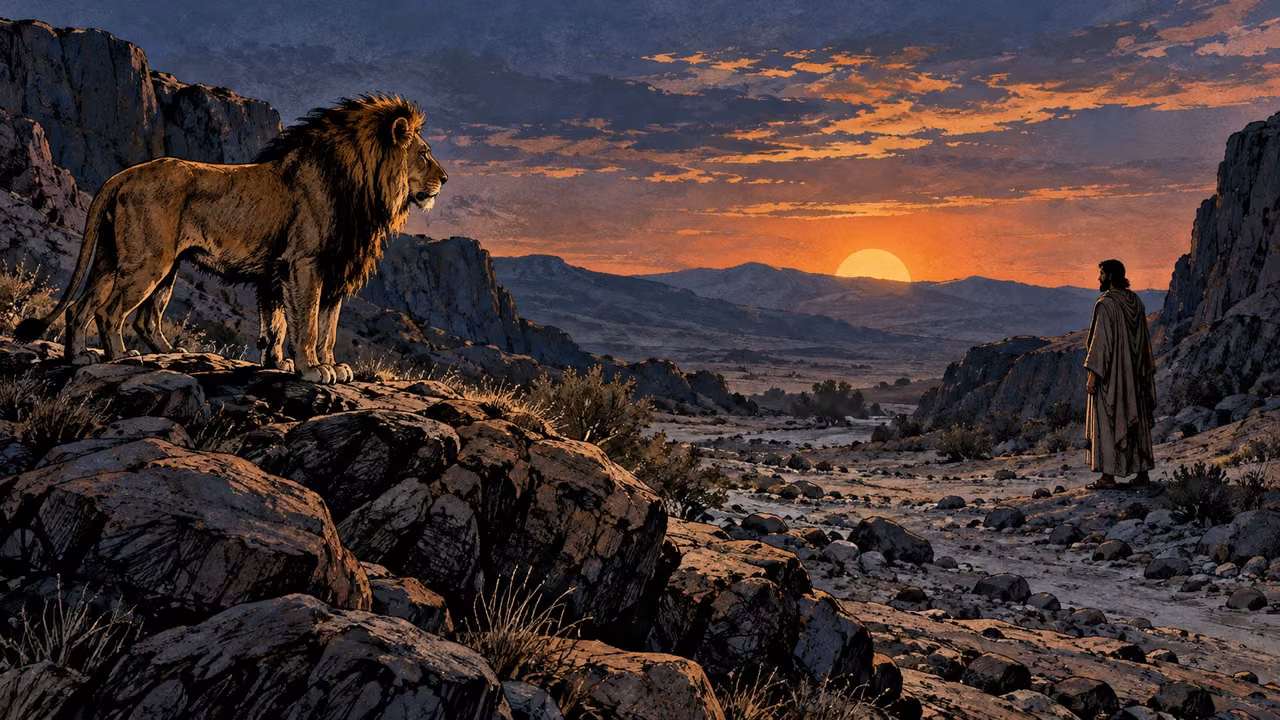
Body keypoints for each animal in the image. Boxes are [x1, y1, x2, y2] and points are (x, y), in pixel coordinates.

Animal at [15, 94, 447, 383]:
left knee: (93, 309)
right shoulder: (304, 263)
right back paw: (122, 358)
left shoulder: (313, 272)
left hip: (123, 261)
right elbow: (306, 323)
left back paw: (91, 358)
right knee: (110, 311)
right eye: (425, 153)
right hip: (148, 262)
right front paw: (311, 369)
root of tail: (122, 175)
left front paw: (295, 363)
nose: (444, 179)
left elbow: (302, 326)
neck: (363, 187)